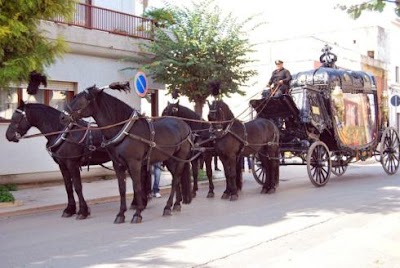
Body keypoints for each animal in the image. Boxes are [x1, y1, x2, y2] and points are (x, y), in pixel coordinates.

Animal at [60, 85, 195, 223]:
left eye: (82, 100)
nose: (62, 117)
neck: (125, 130)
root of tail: (185, 126)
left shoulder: (134, 163)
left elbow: (137, 187)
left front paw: (137, 214)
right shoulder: (118, 165)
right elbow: (122, 188)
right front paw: (121, 214)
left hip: (179, 159)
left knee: (176, 179)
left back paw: (168, 207)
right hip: (169, 159)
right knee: (176, 179)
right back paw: (176, 204)